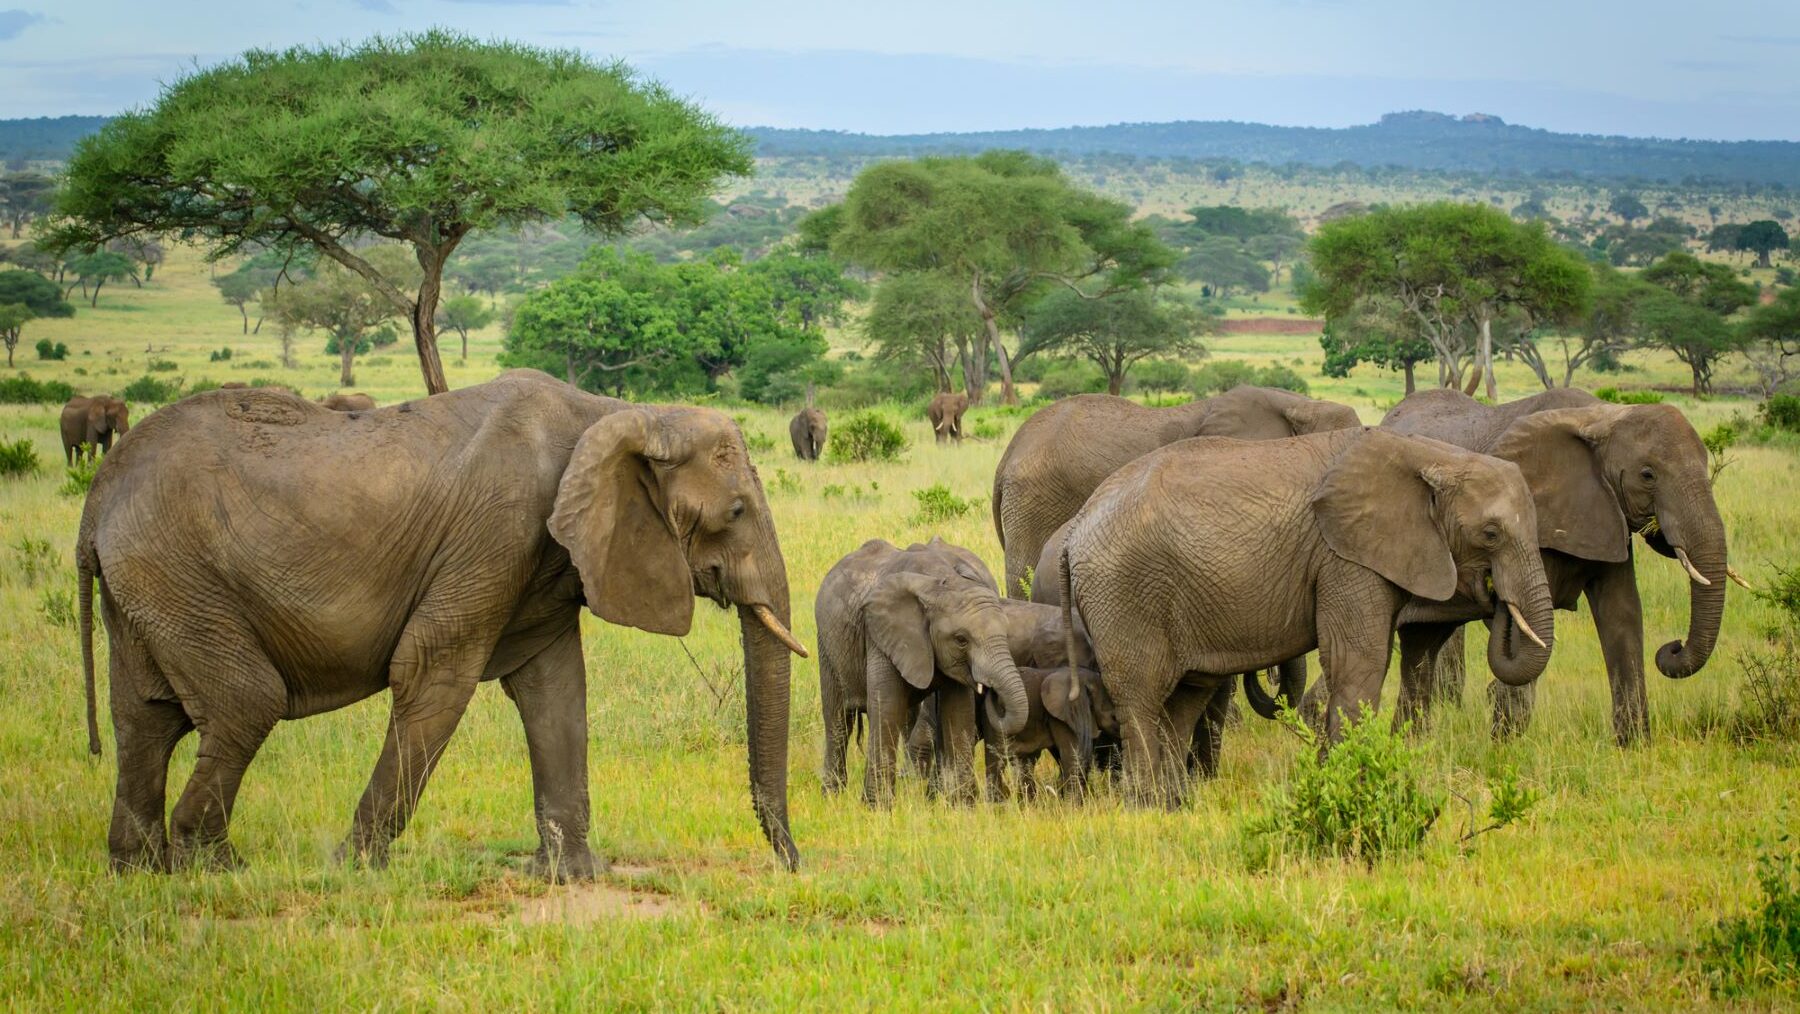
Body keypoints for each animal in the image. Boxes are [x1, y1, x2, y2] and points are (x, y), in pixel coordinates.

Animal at [76, 371, 805, 878]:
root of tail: (97, 500)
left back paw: (140, 870)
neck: (619, 414)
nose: (793, 864)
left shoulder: (545, 559)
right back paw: (219, 869)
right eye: (736, 512)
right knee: (245, 702)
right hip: (177, 573)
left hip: (151, 587)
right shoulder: (495, 533)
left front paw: (571, 876)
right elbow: (433, 677)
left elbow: (554, 691)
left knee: (146, 715)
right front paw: (354, 868)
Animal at [814, 538, 1030, 805]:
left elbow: (957, 712)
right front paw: (877, 807)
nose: (991, 691)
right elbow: (887, 706)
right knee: (838, 720)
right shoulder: (881, 634)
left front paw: (964, 805)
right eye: (961, 640)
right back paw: (831, 797)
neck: (939, 583)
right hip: (827, 647)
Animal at [977, 666, 1119, 802]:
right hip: (993, 722)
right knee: (996, 761)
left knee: (1026, 763)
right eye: (1113, 717)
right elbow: (1071, 754)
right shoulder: (1061, 717)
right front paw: (1073, 806)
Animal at [1060, 427, 1557, 805]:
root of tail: (1075, 529)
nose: (1495, 595)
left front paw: (1326, 778)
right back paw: (1146, 805)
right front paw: (1350, 786)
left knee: (1184, 698)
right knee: (1142, 695)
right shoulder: (1344, 558)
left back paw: (1176, 804)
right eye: (1490, 534)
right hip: (1124, 594)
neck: (1434, 455)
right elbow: (1358, 663)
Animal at [1378, 388, 1736, 744]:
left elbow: (1622, 612)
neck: (1603, 416)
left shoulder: (1606, 514)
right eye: (1648, 475)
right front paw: (1504, 745)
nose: (1672, 648)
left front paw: (1634, 746)